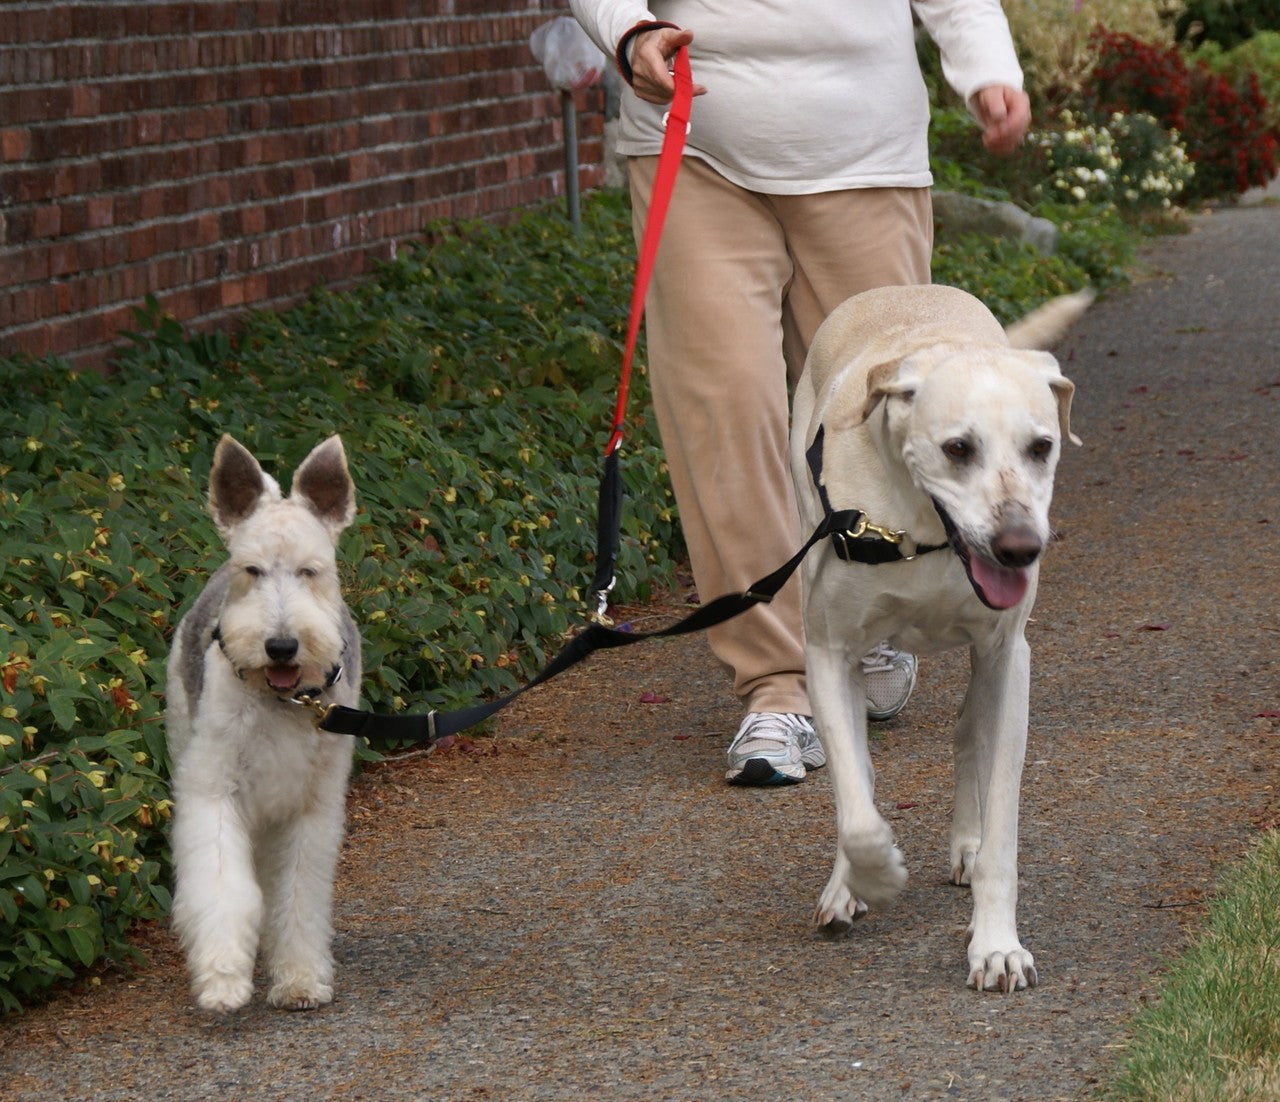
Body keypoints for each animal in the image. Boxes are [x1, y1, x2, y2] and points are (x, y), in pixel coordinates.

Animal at [166, 435, 360, 1008]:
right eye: (252, 571)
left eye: (310, 571)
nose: (281, 646)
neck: (284, 701)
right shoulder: (213, 787)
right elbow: (224, 885)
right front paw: (223, 974)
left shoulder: (313, 804)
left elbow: (298, 893)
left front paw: (299, 977)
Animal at [788, 281, 1090, 988]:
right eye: (958, 449)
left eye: (1041, 447)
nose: (1020, 548)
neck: (921, 530)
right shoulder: (829, 654)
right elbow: (855, 800)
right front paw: (868, 877)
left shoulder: (1007, 657)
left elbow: (1003, 822)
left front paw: (997, 943)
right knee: (863, 771)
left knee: (966, 733)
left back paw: (966, 845)